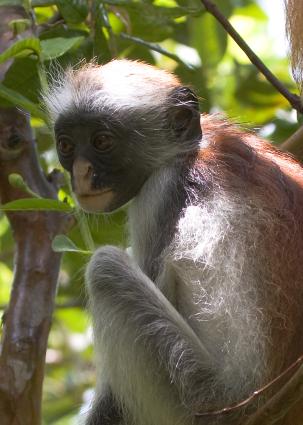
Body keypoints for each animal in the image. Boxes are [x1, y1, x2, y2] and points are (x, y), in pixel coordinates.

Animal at [43, 60, 303, 424]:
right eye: (66, 145)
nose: (81, 174)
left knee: (107, 268)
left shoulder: (161, 190)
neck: (193, 151)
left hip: (199, 395)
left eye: (102, 141)